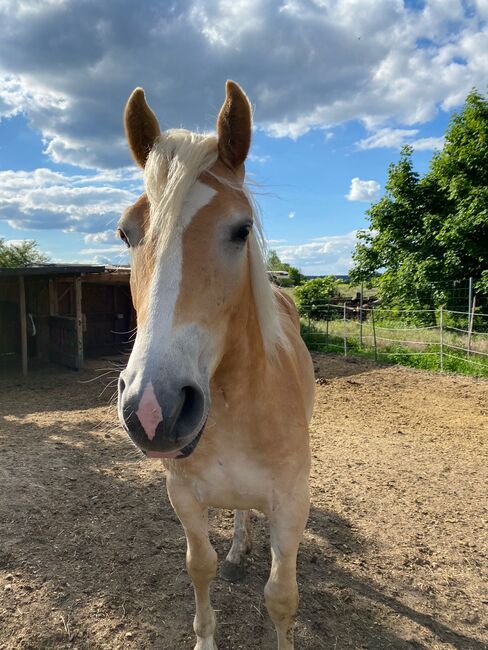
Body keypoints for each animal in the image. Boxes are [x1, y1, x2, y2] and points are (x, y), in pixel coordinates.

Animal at [118, 81, 316, 648]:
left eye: (241, 229)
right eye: (125, 233)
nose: (153, 408)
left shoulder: (292, 505)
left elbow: (281, 597)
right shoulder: (183, 495)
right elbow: (198, 566)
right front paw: (206, 633)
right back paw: (237, 552)